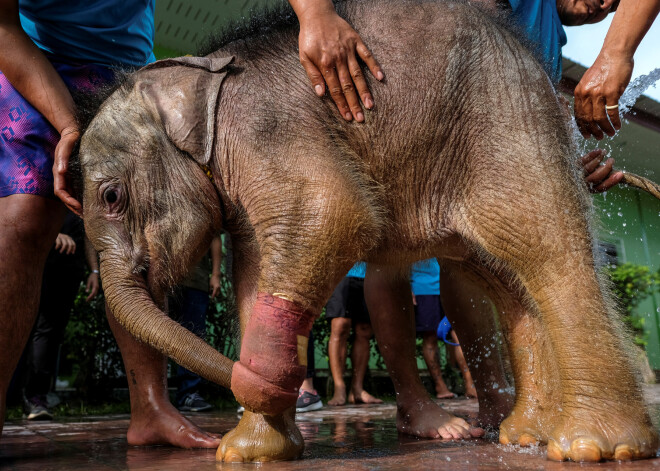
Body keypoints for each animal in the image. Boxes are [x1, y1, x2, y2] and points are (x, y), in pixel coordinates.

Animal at [78, 0, 660, 464]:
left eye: (112, 197)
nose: (294, 387)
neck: (192, 72)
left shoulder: (268, 132)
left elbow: (333, 215)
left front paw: (258, 410)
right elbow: (254, 276)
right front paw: (248, 451)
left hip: (505, 118)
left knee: (541, 245)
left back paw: (593, 446)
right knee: (502, 276)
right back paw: (523, 436)